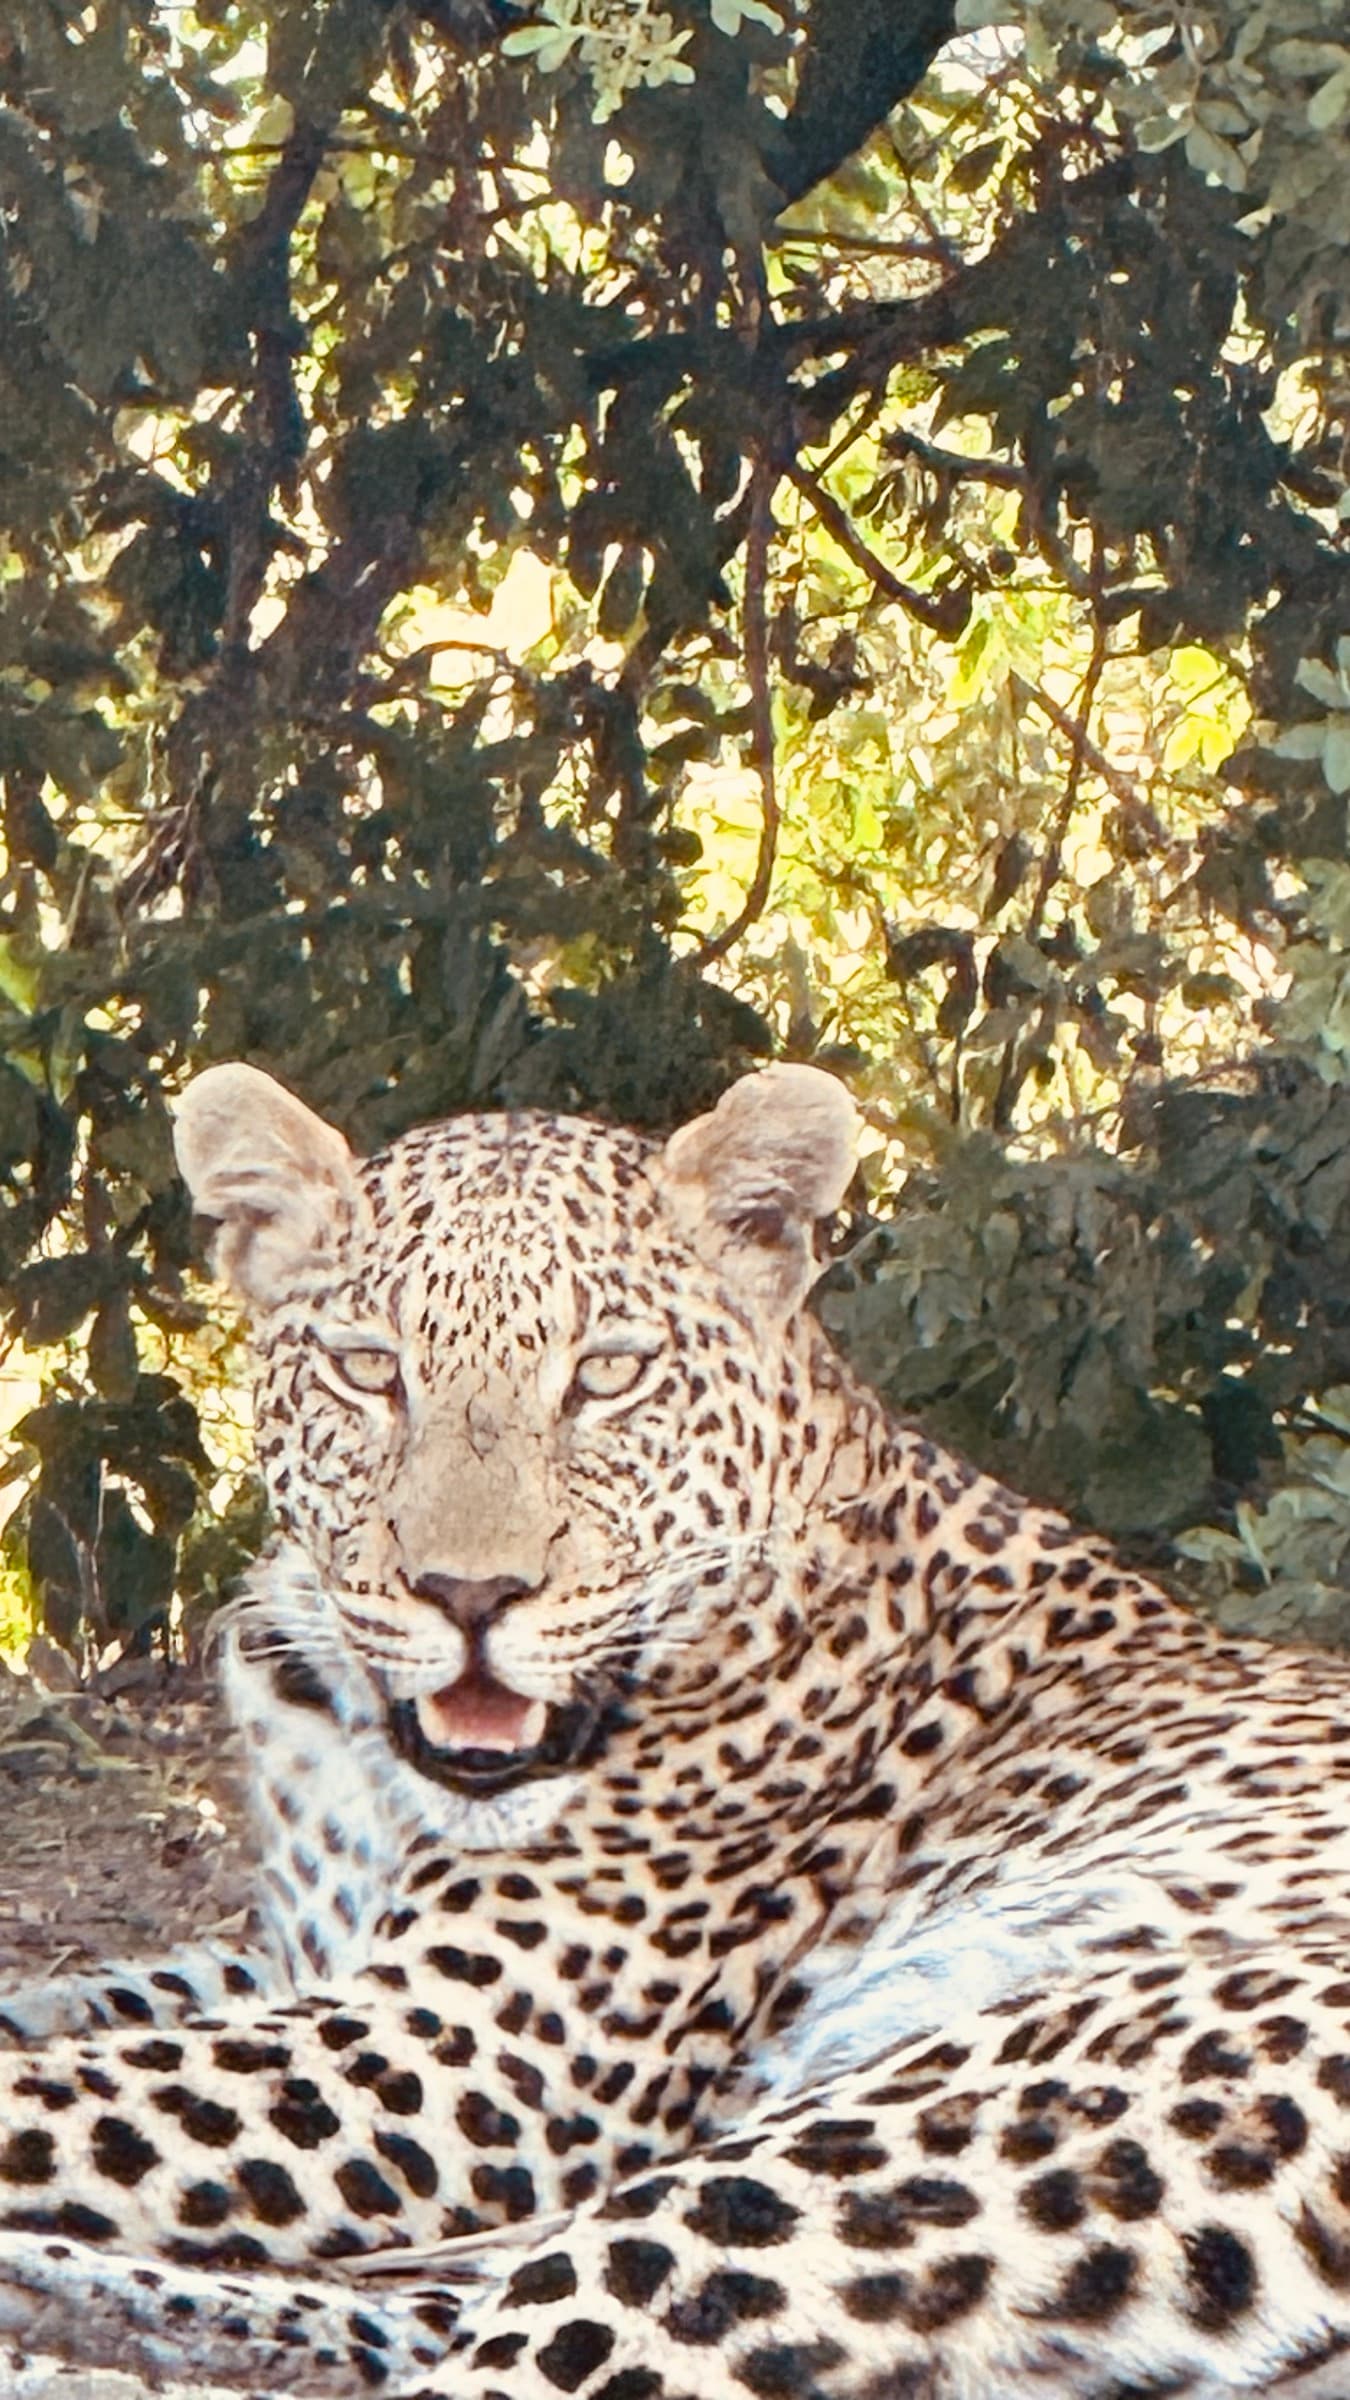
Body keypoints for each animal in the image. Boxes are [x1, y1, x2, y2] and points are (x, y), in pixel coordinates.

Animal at [7, 1060, 1350, 2398]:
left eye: (606, 1375)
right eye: (370, 1371)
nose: (469, 1596)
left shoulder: (465, 2045)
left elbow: (65, 2098)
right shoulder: (305, 1957)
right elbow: (95, 2002)